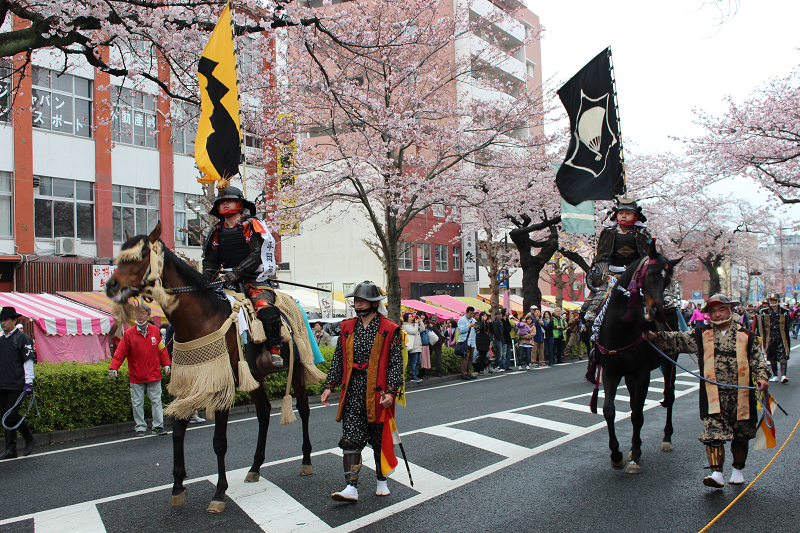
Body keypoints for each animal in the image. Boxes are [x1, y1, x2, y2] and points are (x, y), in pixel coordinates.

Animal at [105, 223, 316, 512]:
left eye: (141, 256)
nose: (111, 285)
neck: (200, 319)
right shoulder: (190, 381)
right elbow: (177, 431)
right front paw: (178, 487)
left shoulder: (221, 383)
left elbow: (219, 442)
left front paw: (219, 493)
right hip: (255, 375)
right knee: (263, 413)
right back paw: (255, 467)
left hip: (297, 366)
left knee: (304, 409)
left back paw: (306, 461)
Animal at [592, 242, 680, 474]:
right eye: (649, 274)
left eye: (667, 280)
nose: (656, 311)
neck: (620, 328)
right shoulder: (611, 372)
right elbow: (609, 411)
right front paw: (617, 455)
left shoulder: (642, 373)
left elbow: (638, 415)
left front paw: (635, 457)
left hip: (670, 362)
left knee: (669, 397)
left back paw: (666, 439)